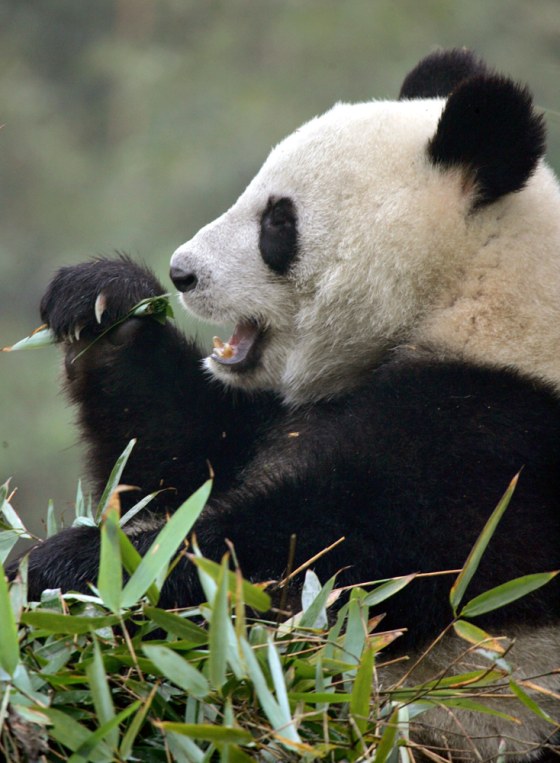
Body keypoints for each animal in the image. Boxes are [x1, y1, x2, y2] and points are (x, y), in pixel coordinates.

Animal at [8, 50, 560, 760]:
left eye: (278, 221)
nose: (182, 272)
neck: (472, 290)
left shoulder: (499, 445)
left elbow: (306, 564)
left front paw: (63, 566)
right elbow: (173, 464)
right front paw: (104, 302)